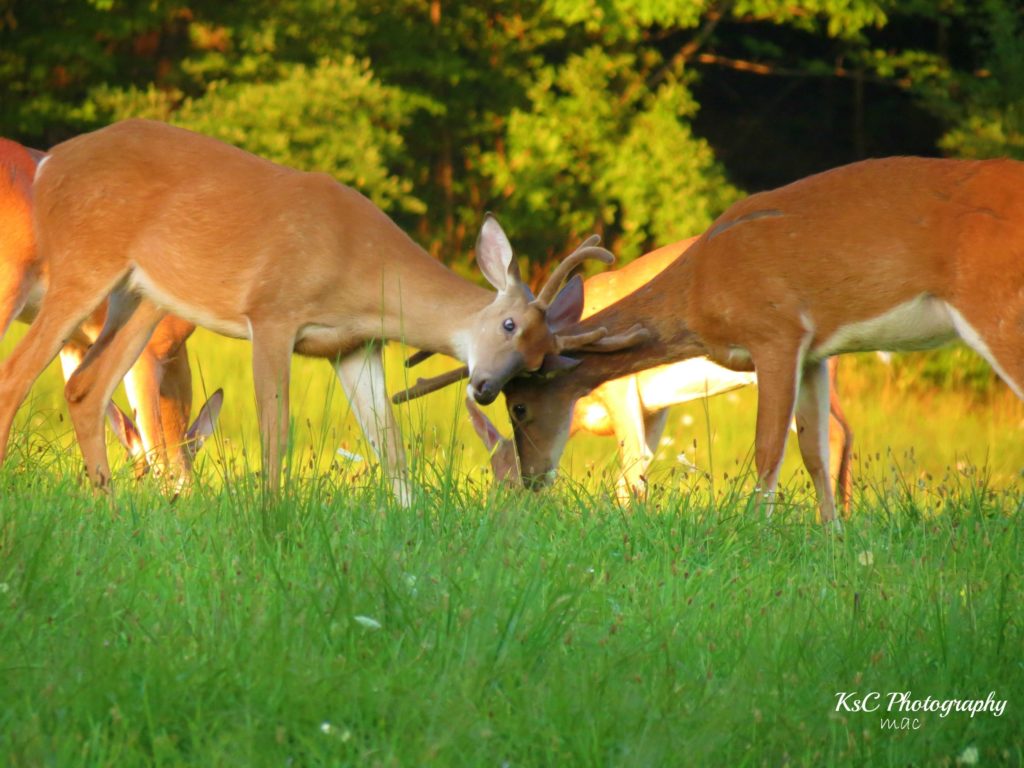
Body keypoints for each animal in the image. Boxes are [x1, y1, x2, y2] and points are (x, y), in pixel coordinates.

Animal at [411, 236, 851, 512]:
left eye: (507, 481)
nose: (503, 518)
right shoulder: (656, 408)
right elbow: (637, 470)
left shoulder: (620, 389)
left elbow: (632, 465)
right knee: (844, 431)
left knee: (830, 434)